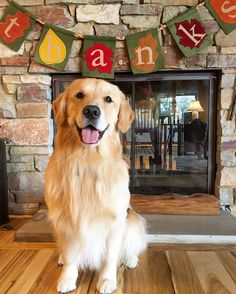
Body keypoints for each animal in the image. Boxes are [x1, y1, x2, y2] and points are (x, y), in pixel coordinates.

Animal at [44, 78, 146, 294]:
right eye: (79, 95)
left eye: (108, 99)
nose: (91, 111)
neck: (87, 162)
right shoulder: (65, 221)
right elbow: (71, 256)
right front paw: (67, 277)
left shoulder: (115, 222)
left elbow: (110, 257)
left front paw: (107, 280)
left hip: (132, 221)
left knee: (131, 245)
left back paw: (131, 259)